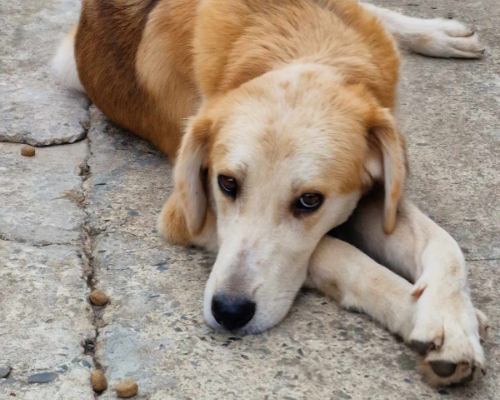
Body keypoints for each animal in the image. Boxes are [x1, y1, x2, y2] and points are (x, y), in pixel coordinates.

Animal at [54, 0, 488, 388]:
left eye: (310, 201)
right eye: (226, 183)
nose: (229, 312)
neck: (296, 31)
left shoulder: (378, 197)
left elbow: (444, 243)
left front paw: (451, 318)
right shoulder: (184, 216)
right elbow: (337, 253)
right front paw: (413, 307)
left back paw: (442, 34)